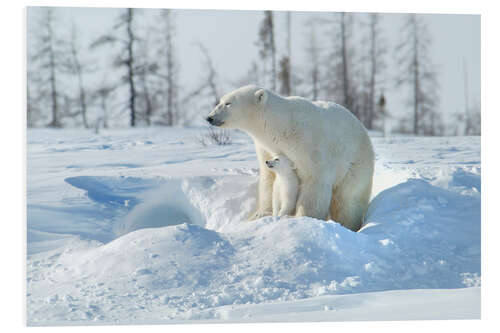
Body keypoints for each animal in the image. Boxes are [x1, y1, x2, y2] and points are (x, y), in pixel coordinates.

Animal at [205, 85, 374, 231]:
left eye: (228, 103)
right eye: (220, 101)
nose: (209, 117)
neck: (282, 127)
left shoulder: (309, 145)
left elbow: (314, 183)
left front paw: (301, 218)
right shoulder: (266, 148)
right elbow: (269, 180)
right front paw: (259, 215)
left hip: (355, 165)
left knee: (347, 201)